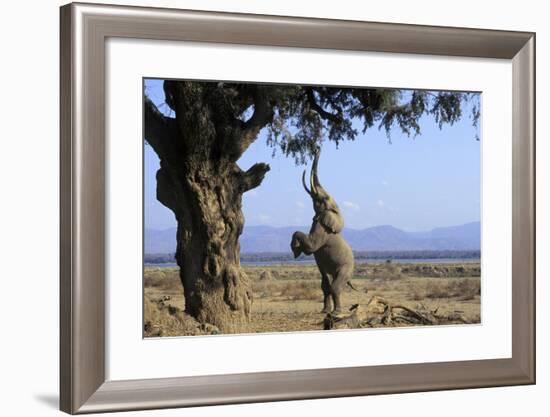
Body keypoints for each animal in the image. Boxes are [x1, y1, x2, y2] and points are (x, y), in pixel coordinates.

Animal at [294, 146, 358, 312]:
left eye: (323, 199)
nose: (318, 147)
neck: (334, 210)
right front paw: (296, 250)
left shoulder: (323, 229)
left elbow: (311, 246)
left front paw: (296, 249)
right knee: (326, 285)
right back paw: (325, 311)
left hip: (346, 267)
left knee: (335, 286)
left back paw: (336, 312)